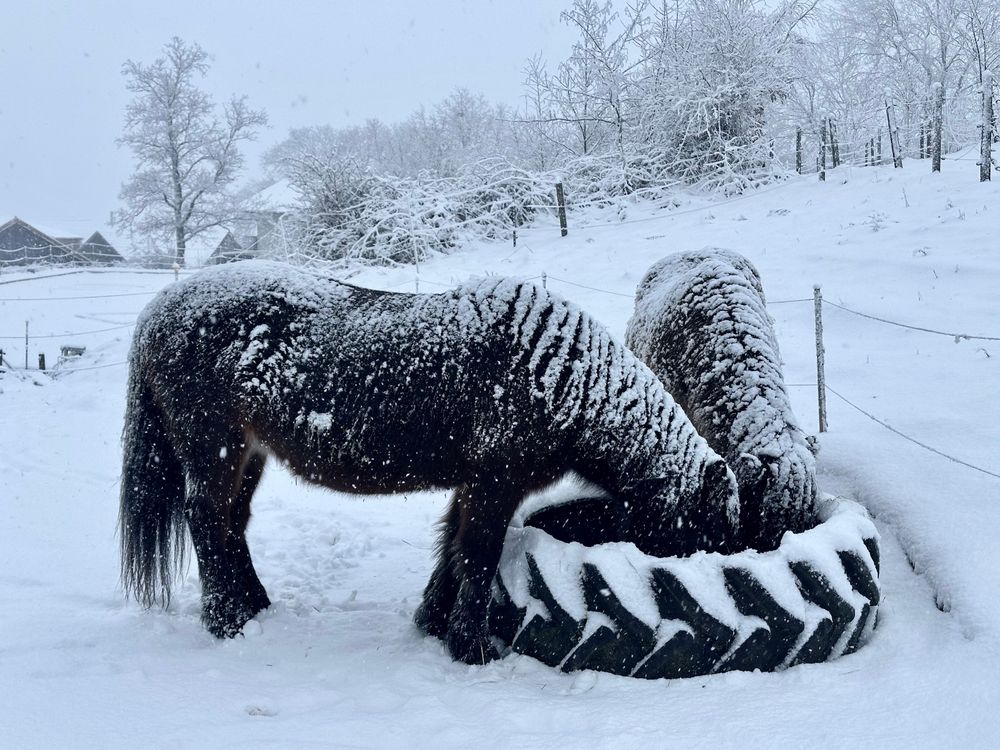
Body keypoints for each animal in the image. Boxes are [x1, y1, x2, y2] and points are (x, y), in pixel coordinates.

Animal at [119, 260, 741, 664]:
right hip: (215, 451)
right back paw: (228, 620)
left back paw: (254, 607)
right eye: (702, 533)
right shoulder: (495, 484)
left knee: (230, 525)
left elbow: (452, 549)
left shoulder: (474, 485)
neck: (556, 371)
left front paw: (434, 624)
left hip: (248, 457)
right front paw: (471, 648)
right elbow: (479, 554)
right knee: (207, 521)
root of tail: (155, 312)